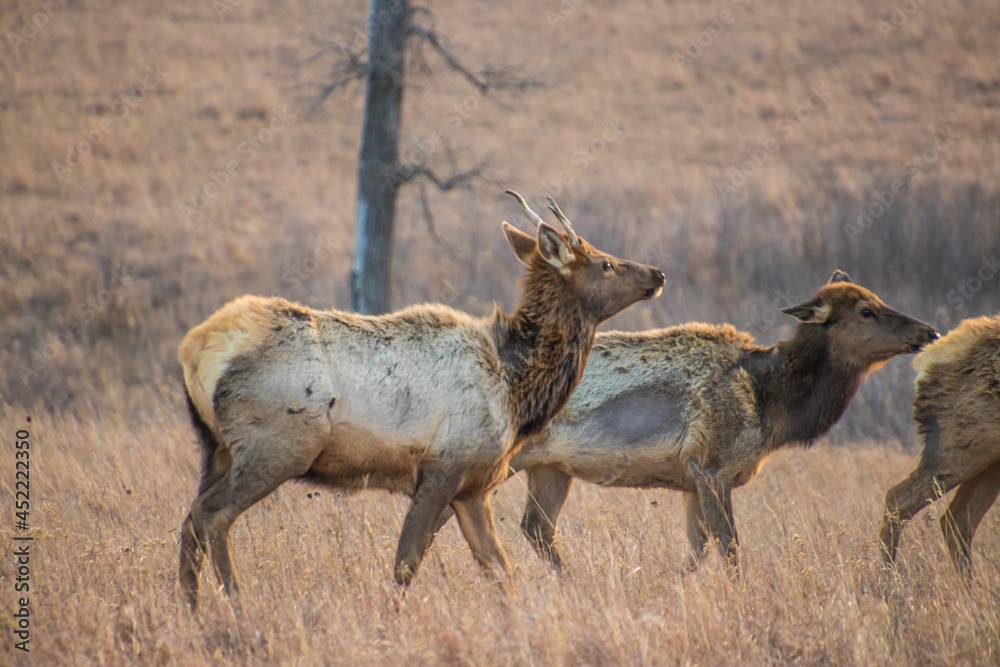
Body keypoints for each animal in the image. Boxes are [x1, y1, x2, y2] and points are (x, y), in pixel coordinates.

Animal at [176, 191, 665, 608]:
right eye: (605, 263)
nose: (657, 274)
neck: (516, 391)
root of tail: (195, 350)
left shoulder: (474, 486)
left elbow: (499, 570)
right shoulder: (441, 470)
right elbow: (406, 564)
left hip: (216, 449)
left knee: (191, 520)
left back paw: (193, 609)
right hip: (276, 449)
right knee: (212, 516)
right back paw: (234, 604)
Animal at [433, 271, 937, 573]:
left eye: (877, 298)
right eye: (866, 311)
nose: (928, 330)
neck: (772, 407)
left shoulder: (690, 481)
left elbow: (697, 551)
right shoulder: (712, 466)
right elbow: (730, 548)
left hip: (551, 468)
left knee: (535, 527)